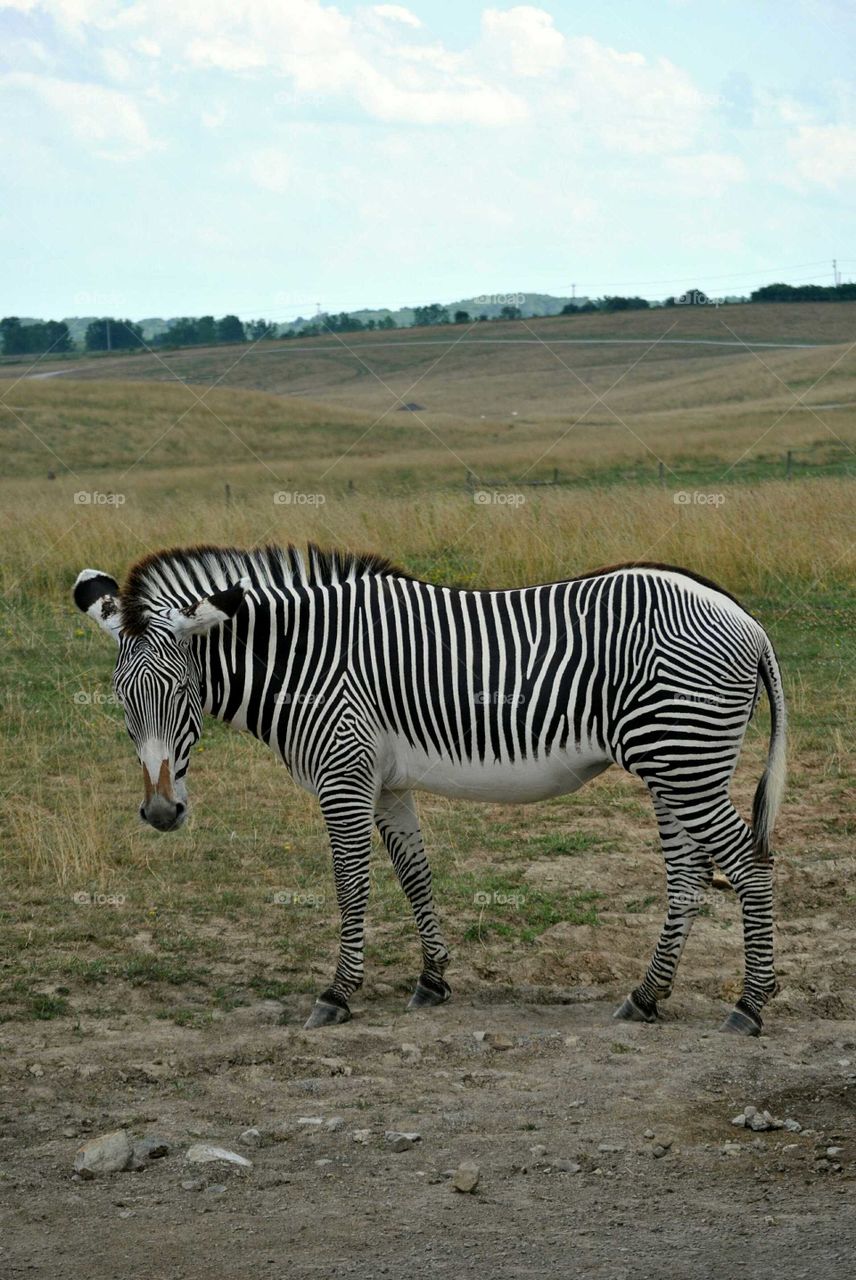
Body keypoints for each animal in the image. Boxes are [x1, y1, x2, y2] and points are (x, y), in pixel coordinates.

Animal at [74, 543, 786, 1036]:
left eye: (183, 692)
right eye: (121, 700)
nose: (160, 812)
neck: (304, 661)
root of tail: (746, 619)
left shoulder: (343, 775)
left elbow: (351, 885)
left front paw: (338, 994)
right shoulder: (386, 783)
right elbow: (415, 874)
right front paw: (433, 979)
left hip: (684, 759)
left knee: (750, 862)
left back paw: (750, 1004)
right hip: (673, 765)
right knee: (689, 877)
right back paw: (645, 997)